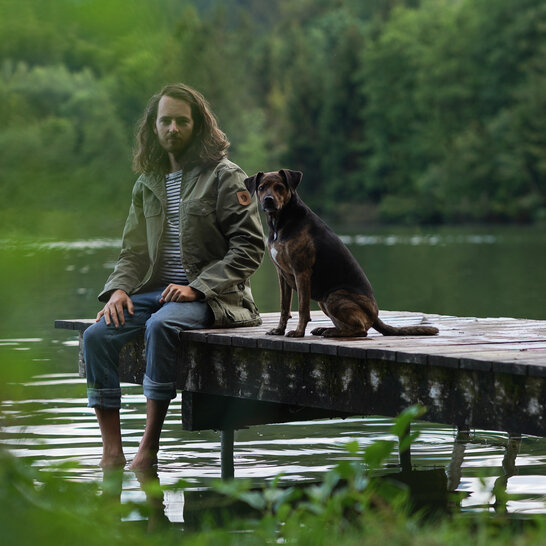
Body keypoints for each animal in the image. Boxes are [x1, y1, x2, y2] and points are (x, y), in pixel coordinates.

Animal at [243, 168, 438, 338]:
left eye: (279, 187)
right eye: (261, 187)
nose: (268, 200)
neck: (280, 222)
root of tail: (375, 316)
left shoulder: (301, 271)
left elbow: (303, 308)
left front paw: (298, 332)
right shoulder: (282, 274)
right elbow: (284, 307)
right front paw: (279, 330)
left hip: (334, 296)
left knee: (361, 329)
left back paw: (331, 331)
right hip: (324, 301)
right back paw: (325, 329)